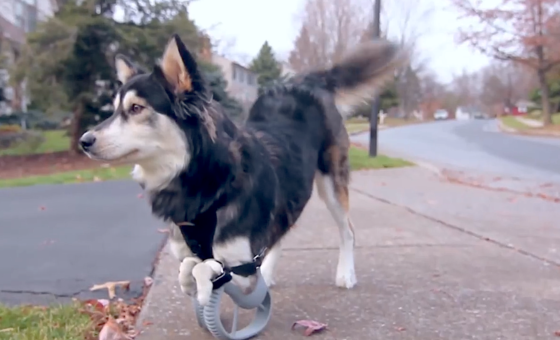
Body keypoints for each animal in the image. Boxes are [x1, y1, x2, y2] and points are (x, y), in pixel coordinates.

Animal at [79, 34, 406, 306]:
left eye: (136, 109)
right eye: (113, 109)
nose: (84, 141)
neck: (205, 182)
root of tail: (306, 83)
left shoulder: (242, 269)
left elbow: (207, 269)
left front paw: (201, 282)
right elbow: (190, 266)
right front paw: (192, 280)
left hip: (332, 184)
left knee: (347, 230)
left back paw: (345, 273)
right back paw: (269, 271)